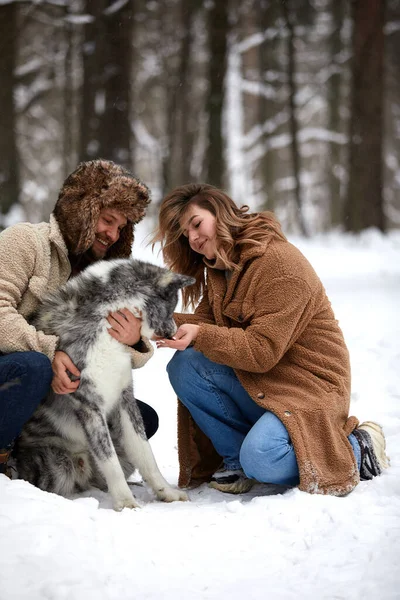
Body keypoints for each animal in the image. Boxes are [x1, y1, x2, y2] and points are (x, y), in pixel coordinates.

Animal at [16, 258, 195, 510]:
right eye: (171, 308)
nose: (173, 333)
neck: (106, 322)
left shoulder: (124, 399)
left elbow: (145, 454)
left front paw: (166, 492)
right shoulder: (89, 406)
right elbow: (110, 462)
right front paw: (126, 504)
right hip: (58, 466)